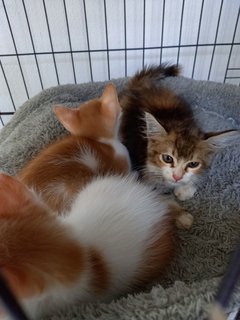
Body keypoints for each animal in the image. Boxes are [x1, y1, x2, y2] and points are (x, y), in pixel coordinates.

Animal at [120, 64, 240, 200]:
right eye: (167, 158)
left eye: (193, 164)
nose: (177, 177)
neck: (179, 123)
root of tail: (143, 89)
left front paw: (186, 188)